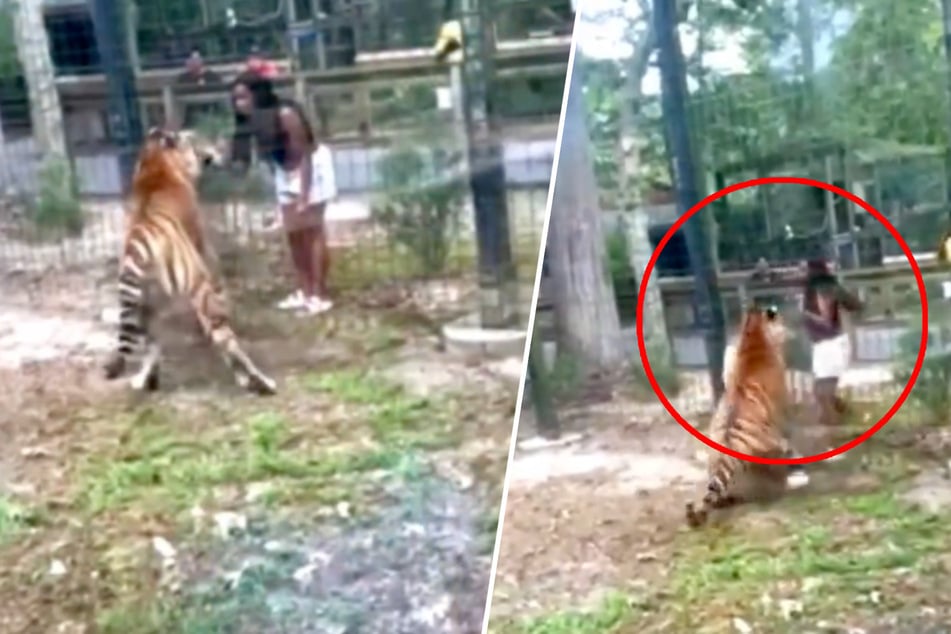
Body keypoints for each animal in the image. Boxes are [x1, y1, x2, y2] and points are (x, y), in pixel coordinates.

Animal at [103, 124, 278, 396]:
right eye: (194, 138)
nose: (218, 148)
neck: (155, 160)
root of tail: (139, 244)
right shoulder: (201, 243)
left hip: (143, 304)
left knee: (152, 345)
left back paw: (145, 380)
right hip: (199, 292)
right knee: (226, 341)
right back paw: (260, 381)